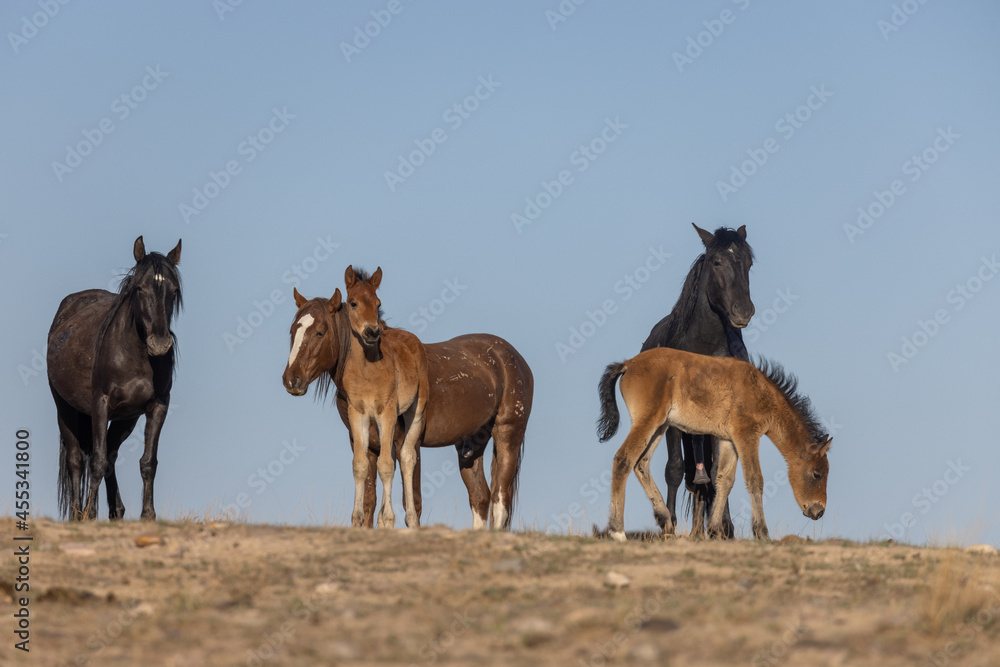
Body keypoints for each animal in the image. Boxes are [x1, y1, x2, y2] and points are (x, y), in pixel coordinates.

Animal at [47, 236, 182, 520]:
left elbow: (148, 462)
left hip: (126, 418)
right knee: (77, 460)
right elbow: (96, 462)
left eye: (174, 291)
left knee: (110, 454)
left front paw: (148, 515)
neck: (135, 355)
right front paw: (89, 514)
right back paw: (78, 514)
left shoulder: (157, 407)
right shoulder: (101, 404)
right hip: (65, 409)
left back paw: (116, 512)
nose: (160, 344)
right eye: (140, 289)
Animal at [283, 284, 533, 531]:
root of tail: (514, 358)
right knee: (480, 496)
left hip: (508, 435)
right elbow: (369, 500)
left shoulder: (407, 441)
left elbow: (413, 499)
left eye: (320, 332)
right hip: (470, 446)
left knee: (500, 499)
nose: (291, 380)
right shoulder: (364, 443)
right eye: (292, 331)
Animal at [597, 347, 830, 541]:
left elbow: (724, 479)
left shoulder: (729, 439)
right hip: (648, 421)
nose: (818, 511)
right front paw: (762, 533)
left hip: (660, 426)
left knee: (641, 463)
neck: (760, 391)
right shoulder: (747, 435)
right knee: (623, 459)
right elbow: (755, 479)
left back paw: (666, 522)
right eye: (817, 474)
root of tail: (629, 364)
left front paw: (715, 529)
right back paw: (617, 531)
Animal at [639, 223, 755, 537]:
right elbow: (675, 469)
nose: (744, 311)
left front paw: (721, 528)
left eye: (749, 264)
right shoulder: (673, 423)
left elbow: (716, 473)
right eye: (716, 262)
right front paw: (668, 525)